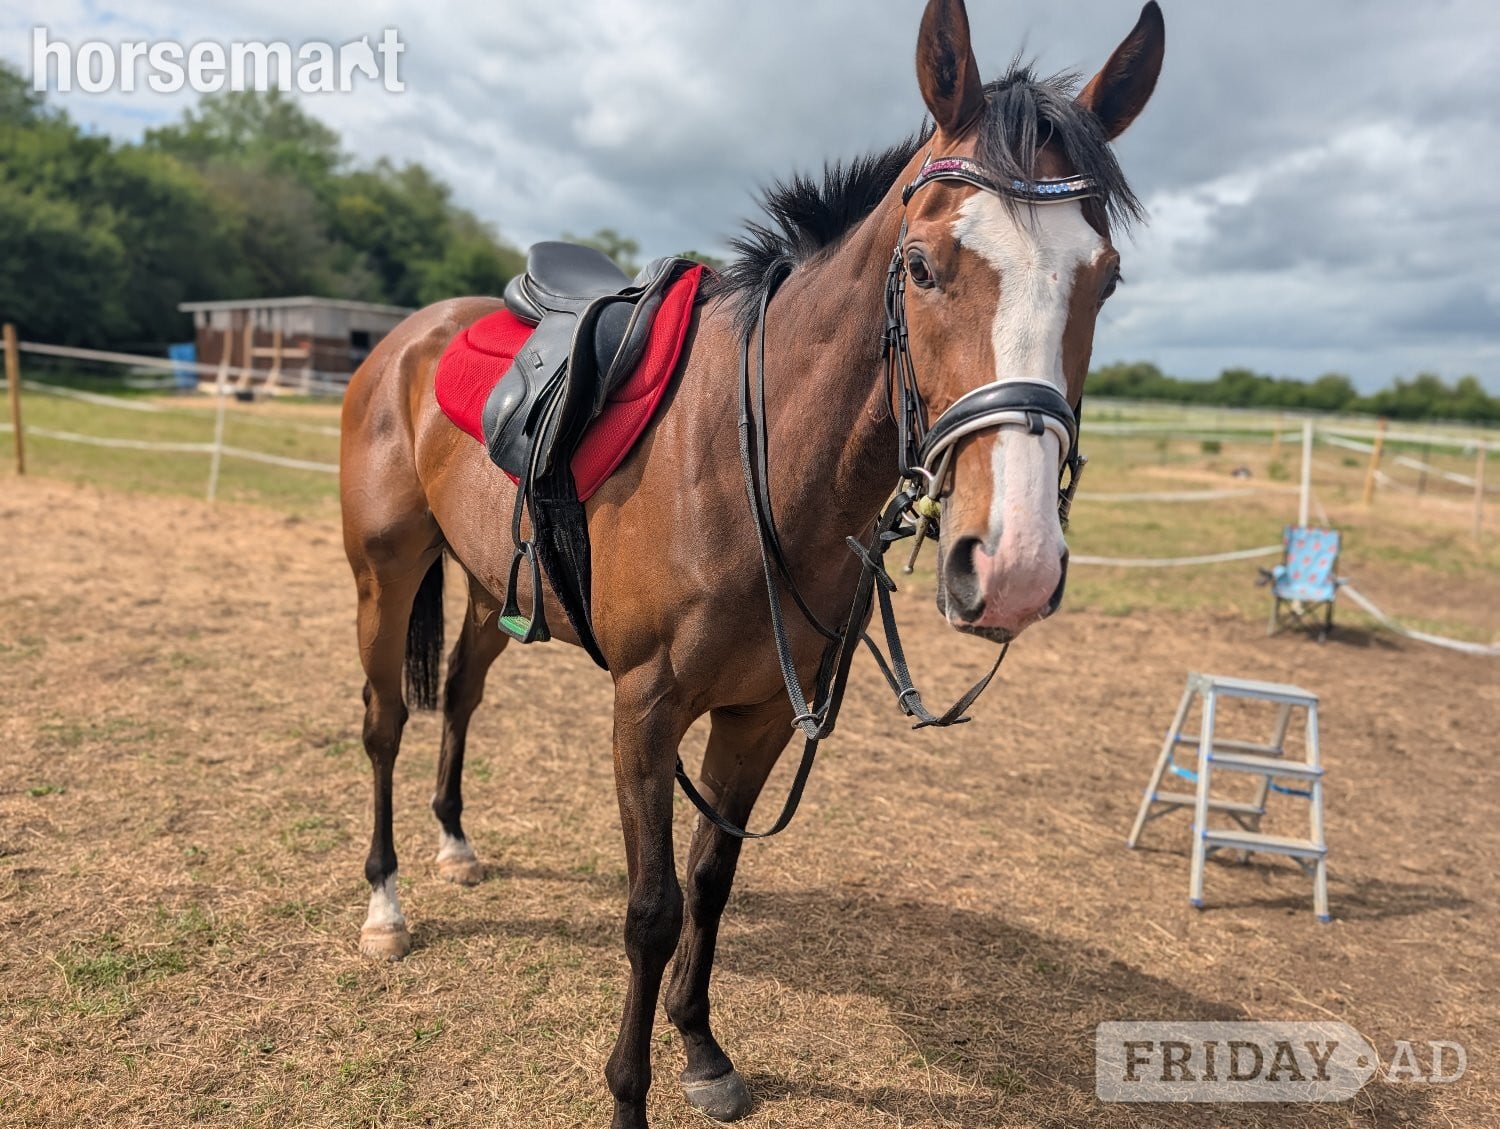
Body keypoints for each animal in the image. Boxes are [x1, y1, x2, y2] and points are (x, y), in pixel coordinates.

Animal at [337, 2, 1164, 1125]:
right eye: (921, 266)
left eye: (1104, 278)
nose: (1017, 563)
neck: (749, 457)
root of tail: (406, 338)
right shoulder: (644, 711)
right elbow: (651, 908)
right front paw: (630, 1093)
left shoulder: (763, 712)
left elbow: (712, 880)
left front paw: (701, 1048)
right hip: (383, 573)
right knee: (385, 721)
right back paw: (385, 903)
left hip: (486, 586)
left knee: (459, 692)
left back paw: (456, 845)